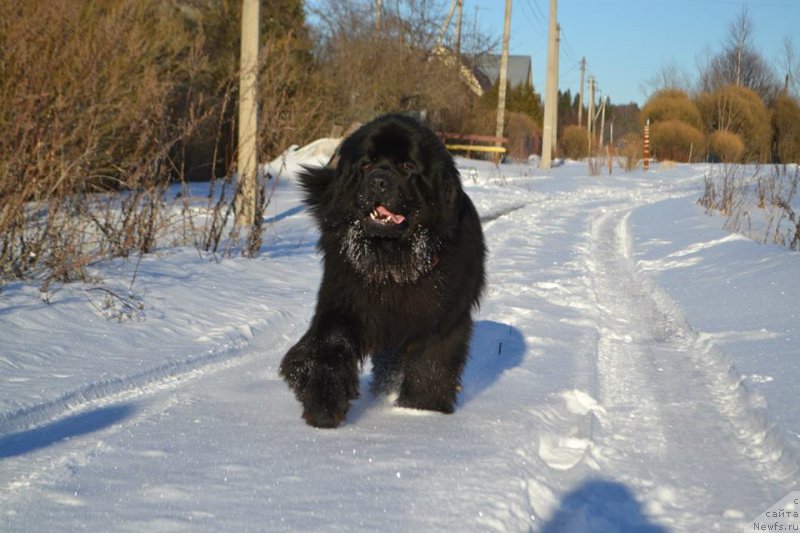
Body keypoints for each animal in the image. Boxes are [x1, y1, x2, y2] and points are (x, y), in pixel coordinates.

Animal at [278, 113, 484, 428]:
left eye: (407, 166)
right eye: (366, 164)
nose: (378, 180)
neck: (392, 265)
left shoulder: (442, 321)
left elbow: (431, 368)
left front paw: (422, 411)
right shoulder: (344, 300)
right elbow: (328, 345)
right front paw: (324, 405)